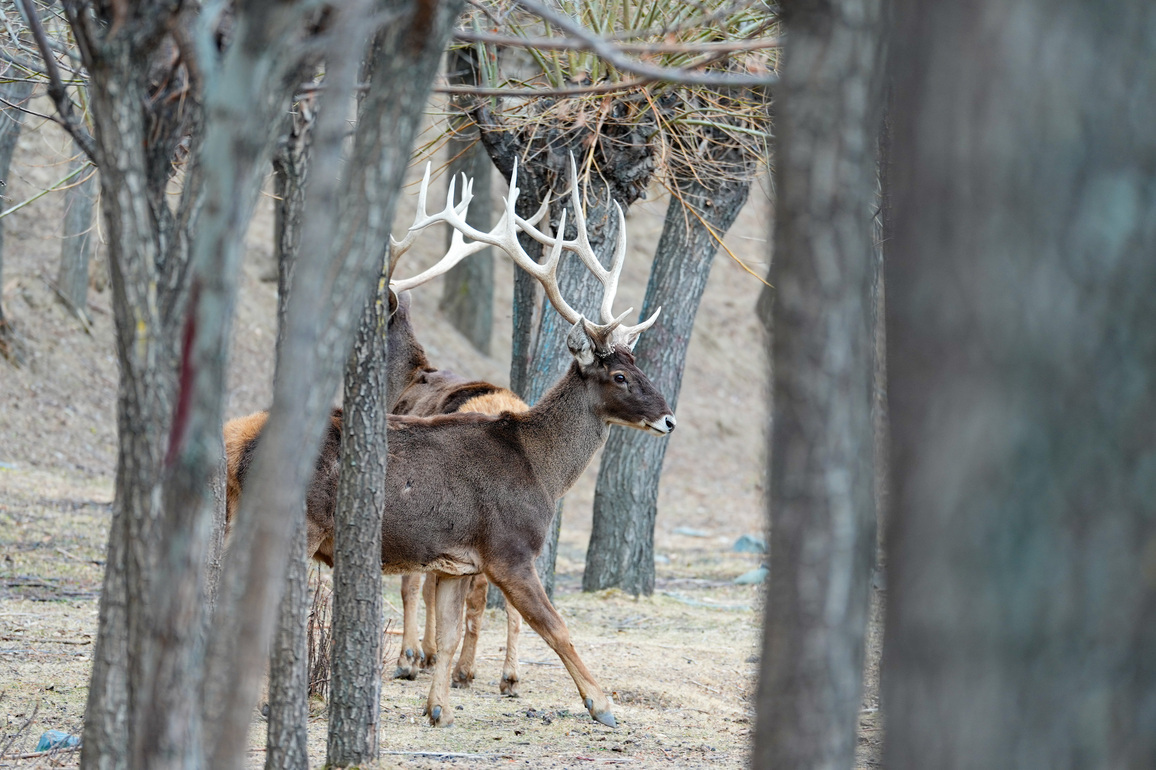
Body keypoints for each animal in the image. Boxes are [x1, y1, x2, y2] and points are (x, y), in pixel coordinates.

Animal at [225, 158, 676, 727]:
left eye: (636, 364)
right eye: (618, 375)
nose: (668, 419)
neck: (541, 470)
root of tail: (238, 444)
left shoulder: (460, 561)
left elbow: (453, 627)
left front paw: (438, 706)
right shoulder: (509, 549)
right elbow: (555, 626)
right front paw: (603, 704)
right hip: (299, 522)